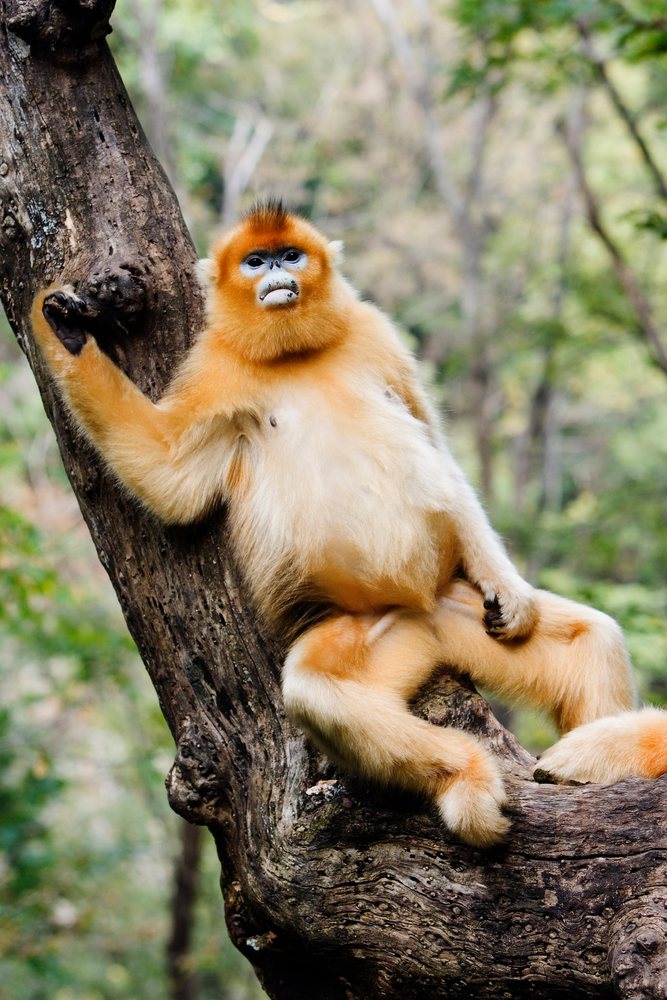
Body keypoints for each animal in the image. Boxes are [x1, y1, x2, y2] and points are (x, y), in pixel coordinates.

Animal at [31, 200, 667, 847]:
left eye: (291, 255)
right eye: (256, 261)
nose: (277, 274)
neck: (293, 354)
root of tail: (423, 609)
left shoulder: (373, 330)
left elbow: (434, 446)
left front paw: (509, 589)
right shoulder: (215, 368)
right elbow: (171, 480)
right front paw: (66, 334)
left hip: (456, 607)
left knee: (591, 638)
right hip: (381, 629)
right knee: (320, 692)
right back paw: (466, 776)